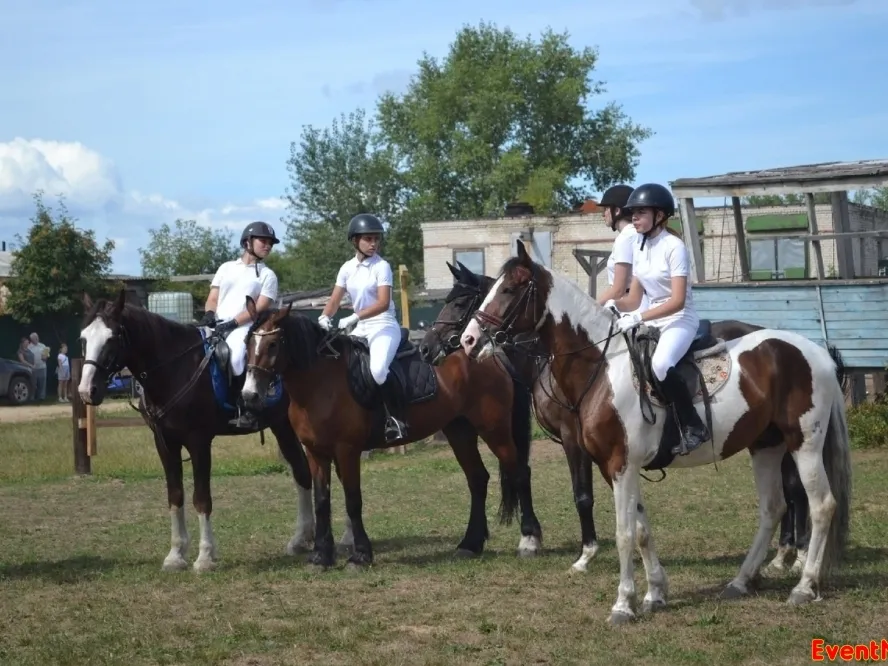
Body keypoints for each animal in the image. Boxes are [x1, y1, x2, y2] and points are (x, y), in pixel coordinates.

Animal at [76, 289, 315, 572]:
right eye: (83, 338)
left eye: (112, 338)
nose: (86, 391)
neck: (175, 367)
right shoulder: (164, 442)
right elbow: (175, 495)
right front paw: (176, 555)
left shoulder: (199, 441)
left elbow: (201, 497)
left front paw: (205, 557)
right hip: (282, 427)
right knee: (301, 472)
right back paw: (301, 540)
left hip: (286, 426)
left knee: (304, 472)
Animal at [240, 296, 542, 570]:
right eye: (247, 343)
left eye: (273, 344)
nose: (249, 395)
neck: (320, 383)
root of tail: (490, 355)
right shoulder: (316, 452)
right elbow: (322, 501)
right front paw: (320, 557)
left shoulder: (346, 450)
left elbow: (353, 501)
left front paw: (360, 556)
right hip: (459, 430)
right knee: (477, 479)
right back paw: (470, 544)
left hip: (494, 428)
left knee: (519, 472)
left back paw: (529, 540)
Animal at [459, 241, 852, 625]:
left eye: (509, 289)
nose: (468, 341)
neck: (602, 366)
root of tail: (814, 350)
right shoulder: (615, 467)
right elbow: (642, 531)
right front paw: (655, 594)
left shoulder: (620, 464)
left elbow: (624, 533)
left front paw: (623, 605)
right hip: (766, 445)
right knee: (773, 508)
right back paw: (741, 581)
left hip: (804, 443)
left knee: (821, 505)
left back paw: (804, 586)